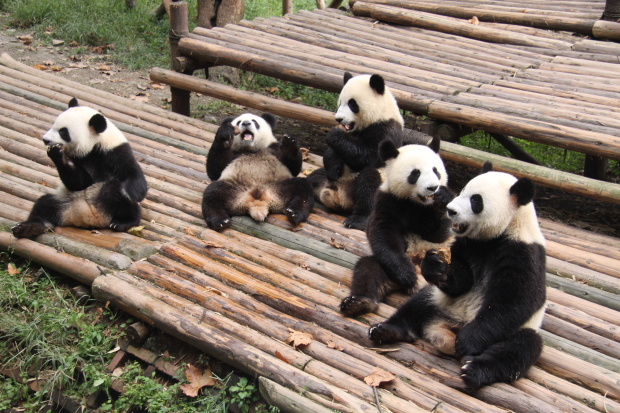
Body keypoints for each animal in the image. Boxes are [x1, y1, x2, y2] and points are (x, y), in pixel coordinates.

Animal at [12, 98, 148, 238]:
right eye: (54, 125)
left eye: (63, 132)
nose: (45, 140)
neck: (94, 146)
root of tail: (87, 217)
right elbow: (79, 183)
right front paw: (56, 153)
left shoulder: (114, 152)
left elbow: (133, 175)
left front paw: (127, 193)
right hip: (65, 200)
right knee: (44, 205)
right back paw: (28, 228)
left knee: (115, 192)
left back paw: (122, 222)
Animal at [308, 72, 404, 230]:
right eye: (340, 102)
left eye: (352, 104)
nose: (338, 119)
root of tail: (340, 198)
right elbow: (333, 153)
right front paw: (334, 169)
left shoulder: (386, 129)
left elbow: (370, 157)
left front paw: (334, 134)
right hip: (325, 178)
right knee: (312, 178)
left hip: (380, 182)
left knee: (369, 186)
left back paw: (357, 220)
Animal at [342, 137, 452, 318]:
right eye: (416, 173)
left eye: (436, 171)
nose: (432, 188)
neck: (415, 202)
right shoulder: (387, 201)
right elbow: (383, 234)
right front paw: (406, 273)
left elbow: (439, 234)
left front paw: (442, 197)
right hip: (387, 271)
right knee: (368, 269)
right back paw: (358, 303)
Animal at [368, 163, 548, 388]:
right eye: (462, 191)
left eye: (476, 200)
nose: (450, 210)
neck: (502, 232)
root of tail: (447, 328)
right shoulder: (467, 244)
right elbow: (462, 282)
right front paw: (435, 265)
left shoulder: (523, 252)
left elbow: (517, 301)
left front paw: (468, 341)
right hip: (441, 301)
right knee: (416, 306)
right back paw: (386, 330)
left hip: (516, 330)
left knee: (519, 348)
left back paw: (475, 369)